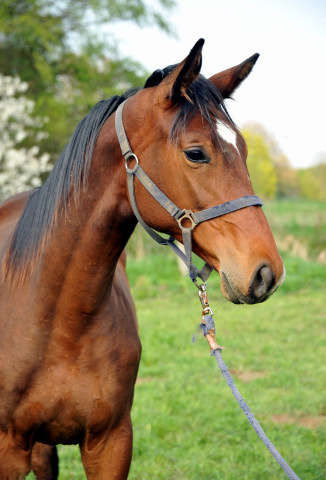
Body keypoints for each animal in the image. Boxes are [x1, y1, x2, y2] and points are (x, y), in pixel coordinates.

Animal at [0, 39, 284, 478]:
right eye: (196, 153)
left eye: (244, 149)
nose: (266, 272)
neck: (58, 323)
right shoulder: (8, 452)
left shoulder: (112, 443)